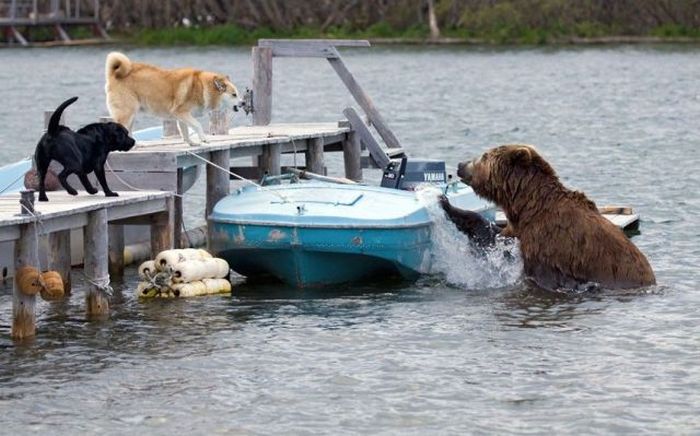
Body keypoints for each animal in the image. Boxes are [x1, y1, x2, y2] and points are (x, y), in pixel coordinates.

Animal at [105, 52, 239, 145]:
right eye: (234, 95)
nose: (242, 103)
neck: (202, 87)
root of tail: (114, 75)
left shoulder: (182, 116)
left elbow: (185, 131)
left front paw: (191, 143)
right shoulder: (181, 112)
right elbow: (197, 125)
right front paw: (204, 139)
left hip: (131, 114)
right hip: (126, 113)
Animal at [442, 145, 656, 292]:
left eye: (485, 155)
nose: (461, 165)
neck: (528, 206)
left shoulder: (547, 242)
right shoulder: (519, 229)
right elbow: (492, 235)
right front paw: (447, 204)